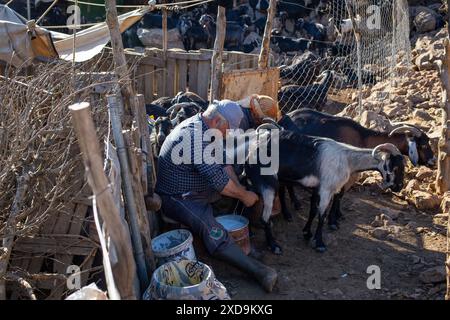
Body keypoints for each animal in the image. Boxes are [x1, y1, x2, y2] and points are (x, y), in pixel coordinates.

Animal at [244, 117, 406, 252]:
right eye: (395, 167)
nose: (399, 187)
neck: (347, 159)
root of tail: (249, 155)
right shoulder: (327, 190)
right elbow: (322, 215)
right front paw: (320, 243)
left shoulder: (317, 189)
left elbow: (313, 212)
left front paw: (307, 233)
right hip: (268, 185)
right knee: (265, 218)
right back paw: (274, 246)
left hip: (256, 184)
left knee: (248, 204)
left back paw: (250, 233)